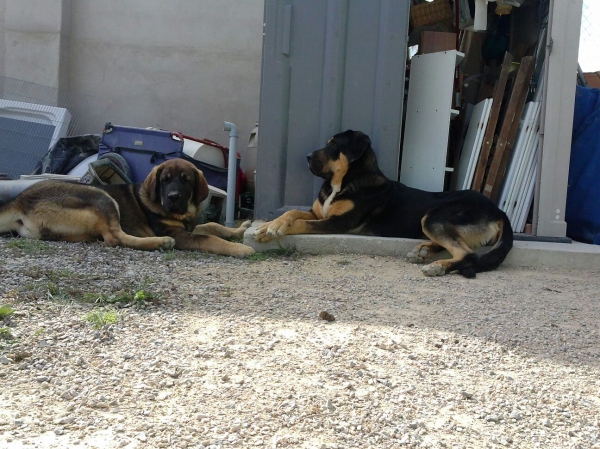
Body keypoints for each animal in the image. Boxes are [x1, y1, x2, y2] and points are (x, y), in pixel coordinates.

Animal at [0, 158, 255, 258]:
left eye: (186, 180)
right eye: (165, 180)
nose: (173, 197)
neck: (182, 213)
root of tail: (20, 200)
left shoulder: (190, 227)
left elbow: (213, 226)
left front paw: (240, 229)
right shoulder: (179, 233)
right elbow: (210, 238)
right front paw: (239, 248)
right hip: (101, 197)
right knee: (115, 238)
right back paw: (160, 243)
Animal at [255, 129, 512, 276]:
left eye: (334, 145)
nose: (307, 157)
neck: (345, 181)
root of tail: (498, 210)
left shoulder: (338, 223)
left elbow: (300, 223)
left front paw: (274, 230)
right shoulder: (319, 214)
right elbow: (292, 213)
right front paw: (268, 226)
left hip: (434, 216)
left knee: (468, 254)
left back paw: (437, 266)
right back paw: (423, 251)